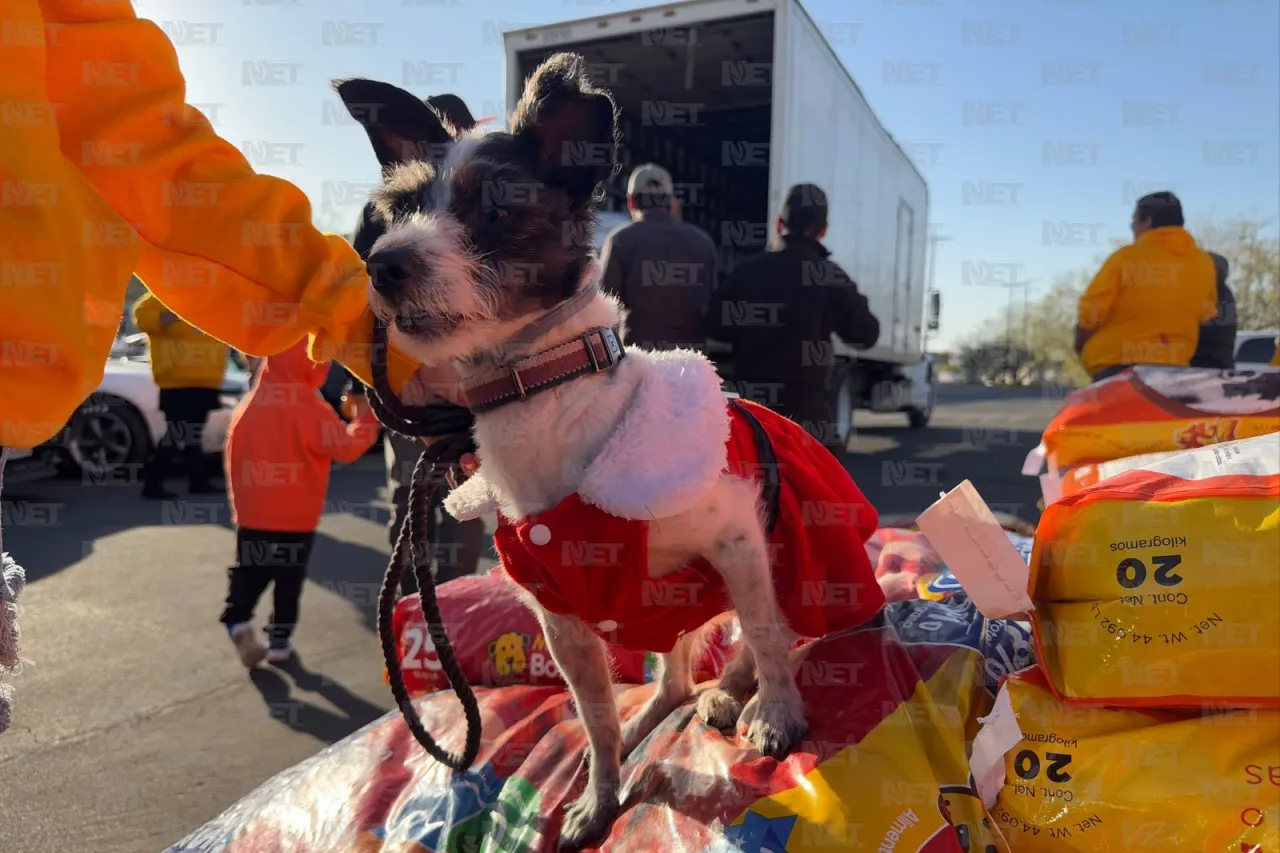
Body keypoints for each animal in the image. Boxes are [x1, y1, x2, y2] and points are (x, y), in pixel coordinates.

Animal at [335, 54, 885, 850]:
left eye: (495, 209)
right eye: (395, 213)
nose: (383, 265)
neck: (542, 396)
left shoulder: (737, 537)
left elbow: (767, 635)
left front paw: (779, 711)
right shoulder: (562, 624)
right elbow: (592, 720)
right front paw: (599, 796)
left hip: (795, 559)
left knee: (773, 632)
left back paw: (740, 694)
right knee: (676, 678)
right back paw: (664, 716)